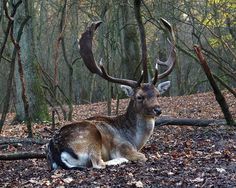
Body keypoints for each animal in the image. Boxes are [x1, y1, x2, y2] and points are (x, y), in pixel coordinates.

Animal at [45, 19, 175, 171]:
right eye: (139, 97)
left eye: (158, 94)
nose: (157, 110)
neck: (135, 140)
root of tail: (56, 151)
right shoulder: (123, 146)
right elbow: (142, 156)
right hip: (91, 135)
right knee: (97, 163)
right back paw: (120, 160)